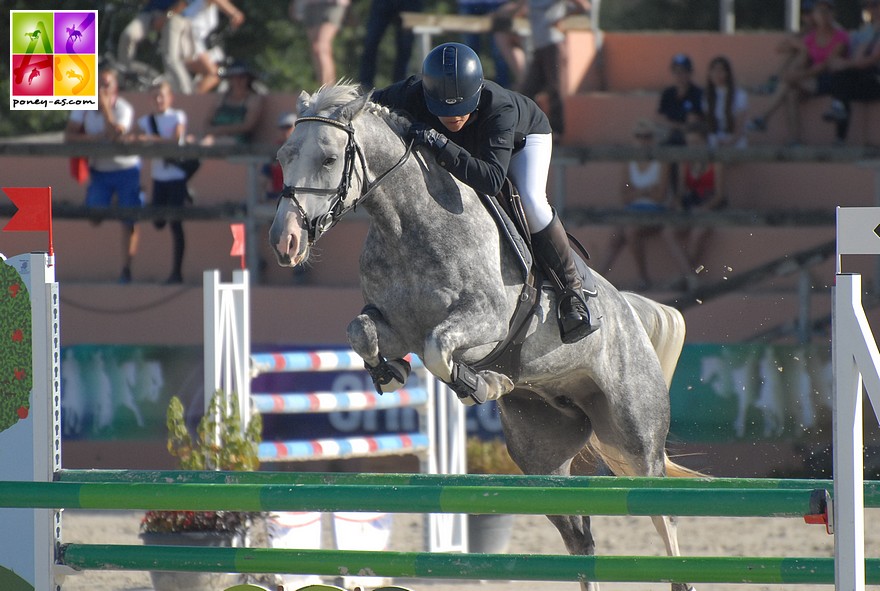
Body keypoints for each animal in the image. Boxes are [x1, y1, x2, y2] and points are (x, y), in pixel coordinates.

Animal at [272, 84, 696, 591]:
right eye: (283, 157)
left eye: (329, 158)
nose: (284, 242)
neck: (407, 223)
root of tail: (631, 312)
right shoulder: (395, 325)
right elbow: (362, 331)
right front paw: (391, 373)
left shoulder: (486, 322)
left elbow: (438, 348)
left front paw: (483, 384)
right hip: (541, 455)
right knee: (580, 535)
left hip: (633, 442)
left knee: (664, 516)